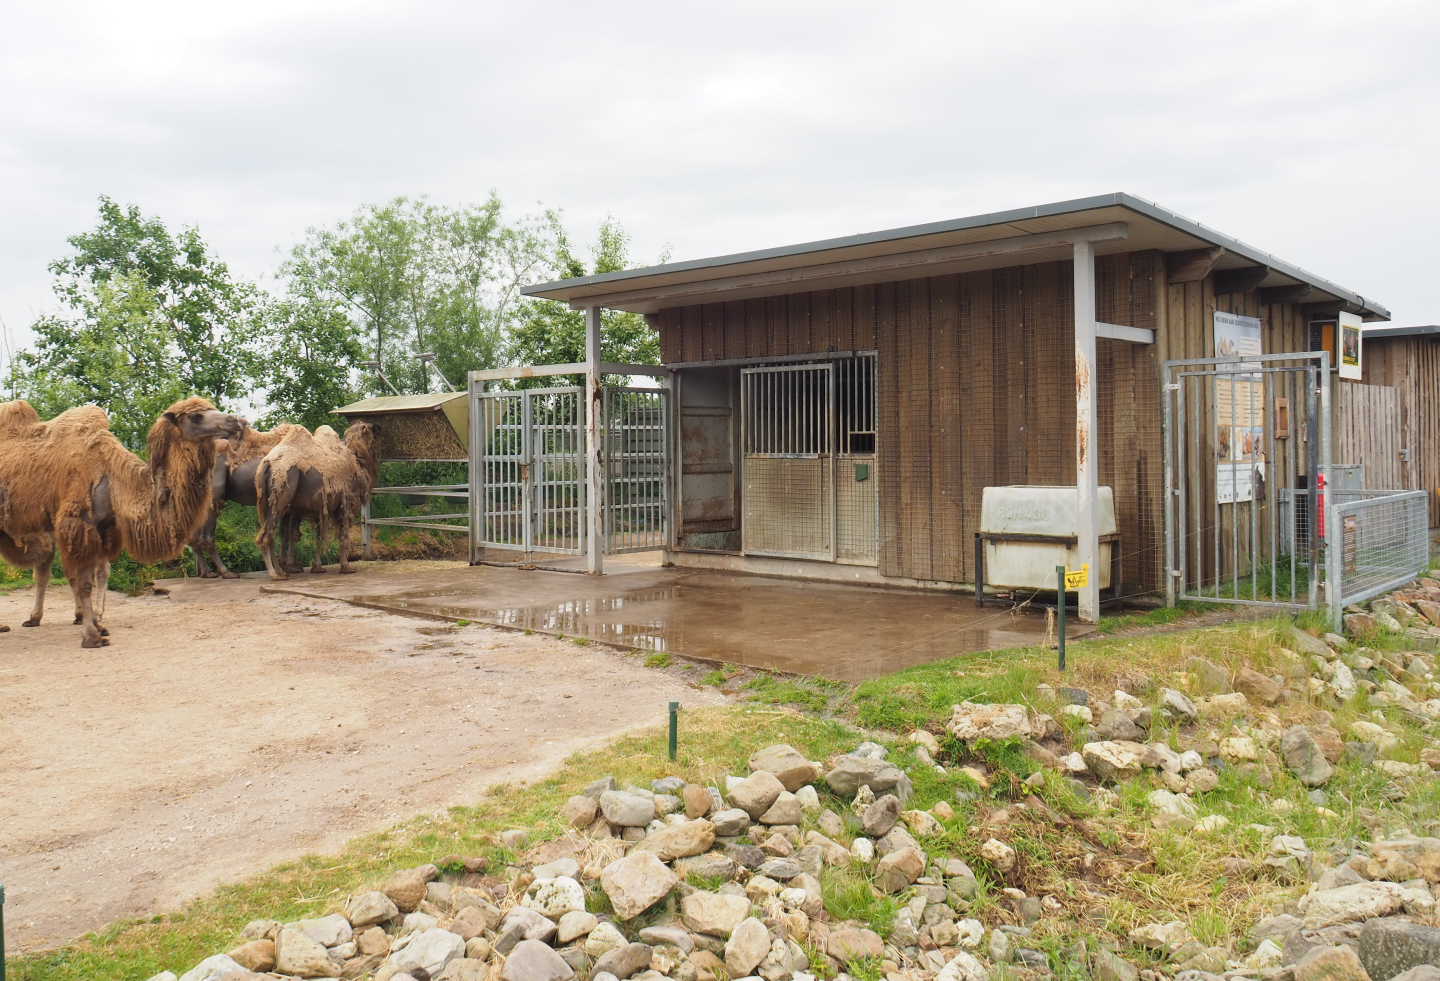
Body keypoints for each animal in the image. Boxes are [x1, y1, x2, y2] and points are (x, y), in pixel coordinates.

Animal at [0, 396, 243, 647]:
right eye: (196, 416)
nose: (234, 422)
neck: (111, 477)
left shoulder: (101, 528)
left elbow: (91, 576)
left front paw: (96, 624)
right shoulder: (79, 524)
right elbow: (81, 582)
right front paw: (92, 636)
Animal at [189, 420, 302, 578]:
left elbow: (284, 533)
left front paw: (286, 565)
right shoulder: (291, 504)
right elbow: (291, 533)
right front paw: (290, 566)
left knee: (194, 536)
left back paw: (207, 572)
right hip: (214, 498)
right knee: (206, 537)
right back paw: (226, 572)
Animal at [255, 421, 379, 581]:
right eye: (370, 428)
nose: (379, 427)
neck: (358, 465)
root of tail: (267, 465)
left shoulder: (321, 507)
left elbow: (319, 536)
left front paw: (317, 567)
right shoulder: (344, 503)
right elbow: (343, 534)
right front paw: (346, 566)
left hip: (270, 503)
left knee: (273, 533)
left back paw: (281, 571)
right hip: (280, 499)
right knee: (267, 535)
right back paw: (275, 574)